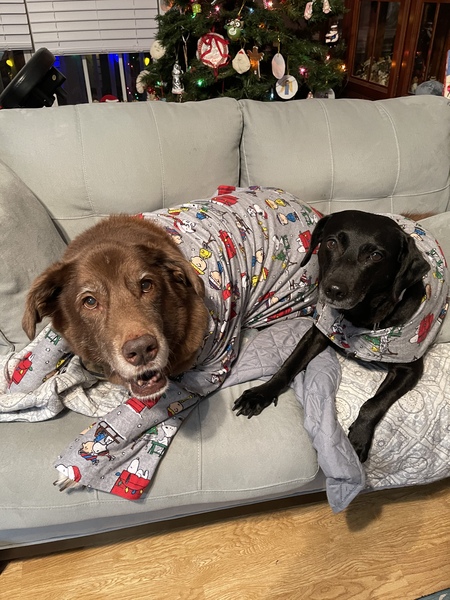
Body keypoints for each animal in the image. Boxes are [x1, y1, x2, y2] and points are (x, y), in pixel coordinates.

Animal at [234, 211, 444, 464]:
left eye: (376, 255)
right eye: (332, 242)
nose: (333, 290)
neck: (361, 316)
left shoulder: (410, 369)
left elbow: (374, 403)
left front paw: (359, 438)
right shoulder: (317, 332)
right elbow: (288, 365)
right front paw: (262, 392)